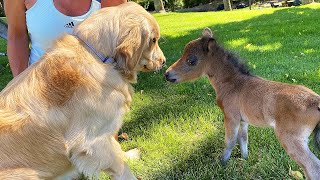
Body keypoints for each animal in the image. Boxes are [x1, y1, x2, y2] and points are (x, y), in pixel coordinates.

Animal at [0, 2, 165, 179]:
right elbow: (122, 168)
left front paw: (129, 155)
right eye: (153, 40)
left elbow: (119, 153)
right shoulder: (94, 142)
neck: (98, 57)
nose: (164, 61)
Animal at [165, 27, 320, 179]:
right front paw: (245, 160)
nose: (167, 74)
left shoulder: (230, 116)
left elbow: (230, 141)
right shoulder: (243, 120)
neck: (232, 82)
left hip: (290, 139)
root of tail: (316, 102)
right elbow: (243, 139)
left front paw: (222, 164)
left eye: (191, 60)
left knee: (312, 167)